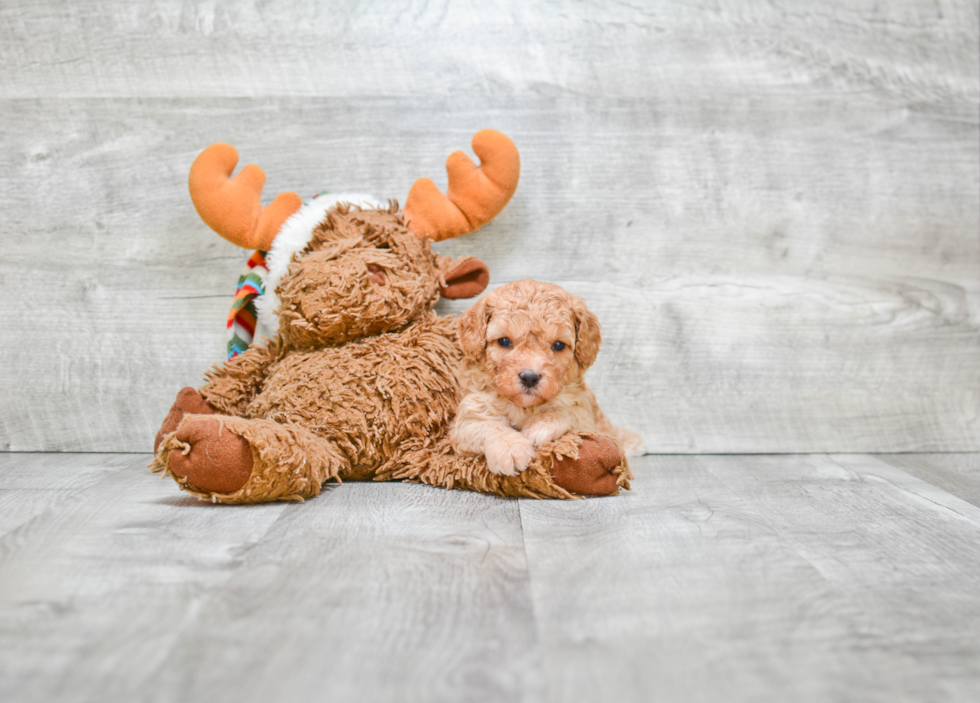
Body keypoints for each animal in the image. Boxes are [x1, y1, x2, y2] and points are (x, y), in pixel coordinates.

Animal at [452, 280, 644, 478]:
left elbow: (566, 411)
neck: (525, 407)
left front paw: (539, 426)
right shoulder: (470, 412)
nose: (530, 377)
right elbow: (487, 424)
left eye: (558, 345)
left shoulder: (584, 414)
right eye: (504, 341)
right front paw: (510, 449)